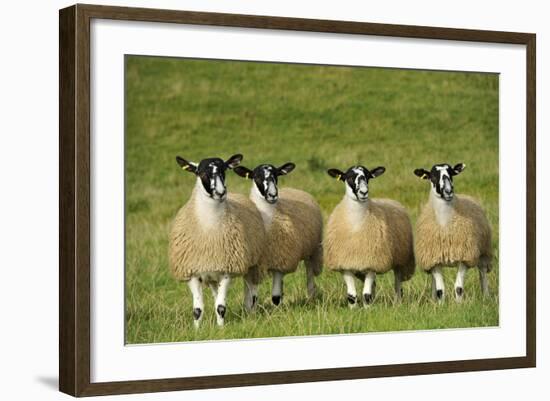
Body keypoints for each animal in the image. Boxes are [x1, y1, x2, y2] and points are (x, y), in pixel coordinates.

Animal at [170, 153, 270, 324]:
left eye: (224, 171)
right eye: (201, 173)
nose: (221, 192)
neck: (210, 233)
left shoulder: (227, 270)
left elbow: (221, 307)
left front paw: (221, 327)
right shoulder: (193, 272)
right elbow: (198, 310)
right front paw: (198, 329)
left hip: (253, 263)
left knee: (251, 291)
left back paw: (250, 313)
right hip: (212, 275)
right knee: (217, 294)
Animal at [233, 162, 324, 304]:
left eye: (276, 175)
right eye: (256, 177)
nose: (273, 195)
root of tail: (293, 189)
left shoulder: (281, 260)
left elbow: (275, 297)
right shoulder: (255, 266)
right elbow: (252, 296)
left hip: (312, 249)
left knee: (309, 272)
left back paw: (311, 296)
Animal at [326, 164, 416, 308]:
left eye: (368, 176)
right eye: (349, 177)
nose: (364, 192)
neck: (356, 226)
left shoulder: (373, 262)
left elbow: (366, 295)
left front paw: (368, 309)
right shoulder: (346, 264)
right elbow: (351, 296)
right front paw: (353, 309)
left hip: (400, 259)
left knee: (397, 283)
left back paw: (397, 303)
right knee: (374, 285)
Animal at [414, 161, 496, 302]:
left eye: (451, 173)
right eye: (433, 176)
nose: (449, 191)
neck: (445, 226)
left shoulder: (464, 256)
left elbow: (458, 288)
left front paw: (459, 304)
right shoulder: (434, 259)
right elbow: (440, 290)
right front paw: (440, 304)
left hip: (484, 251)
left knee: (483, 272)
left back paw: (486, 296)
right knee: (433, 282)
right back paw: (433, 299)